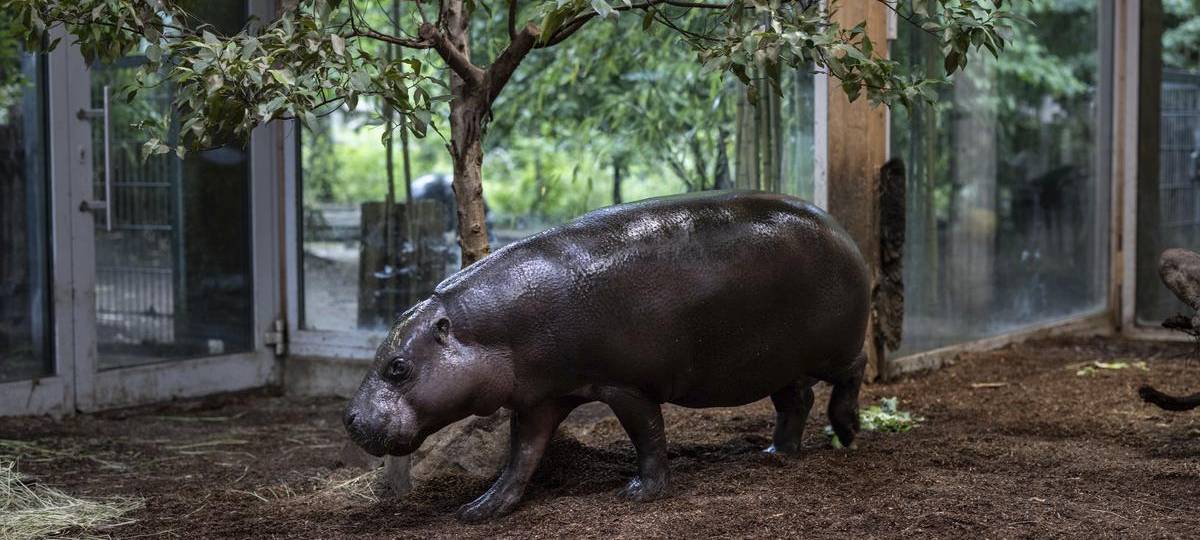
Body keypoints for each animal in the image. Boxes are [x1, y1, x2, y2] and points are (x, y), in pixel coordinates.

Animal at [344, 190, 870, 522]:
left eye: (398, 367)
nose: (349, 419)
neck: (487, 330)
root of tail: (841, 229)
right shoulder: (539, 399)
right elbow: (521, 459)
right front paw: (479, 510)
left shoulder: (625, 385)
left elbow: (648, 436)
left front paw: (639, 494)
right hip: (778, 363)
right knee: (796, 401)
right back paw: (776, 454)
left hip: (832, 348)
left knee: (854, 370)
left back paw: (847, 432)